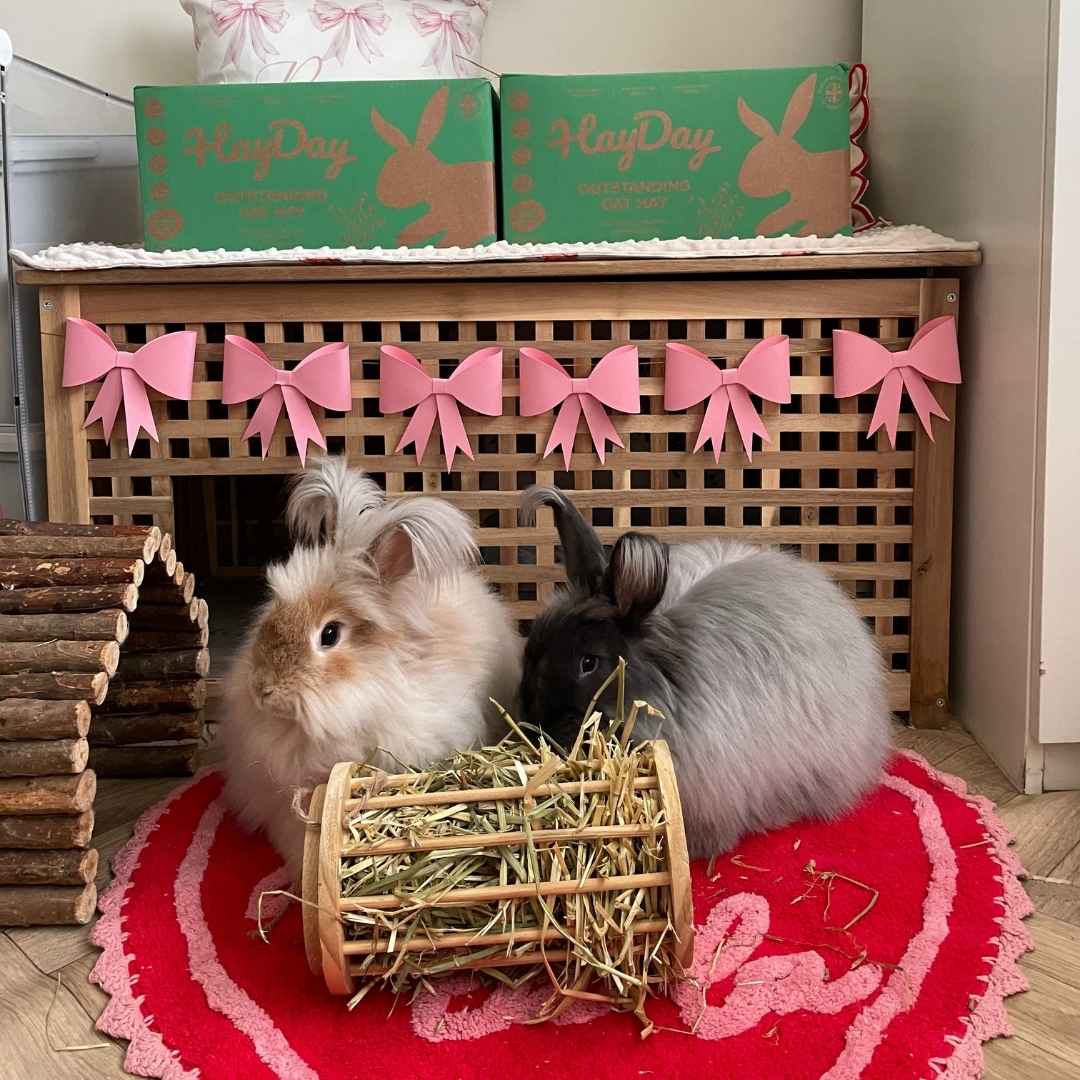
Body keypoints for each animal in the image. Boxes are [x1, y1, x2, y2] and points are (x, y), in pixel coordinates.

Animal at [367, 85, 494, 247]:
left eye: (406, 168)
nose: (381, 196)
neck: (439, 181)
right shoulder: (437, 216)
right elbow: (420, 227)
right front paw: (402, 238)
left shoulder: (464, 225)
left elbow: (450, 239)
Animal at [734, 73, 851, 238]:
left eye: (770, 159)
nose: (743, 185)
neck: (802, 171)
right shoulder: (795, 207)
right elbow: (781, 216)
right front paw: (762, 227)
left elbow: (818, 224)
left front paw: (804, 231)